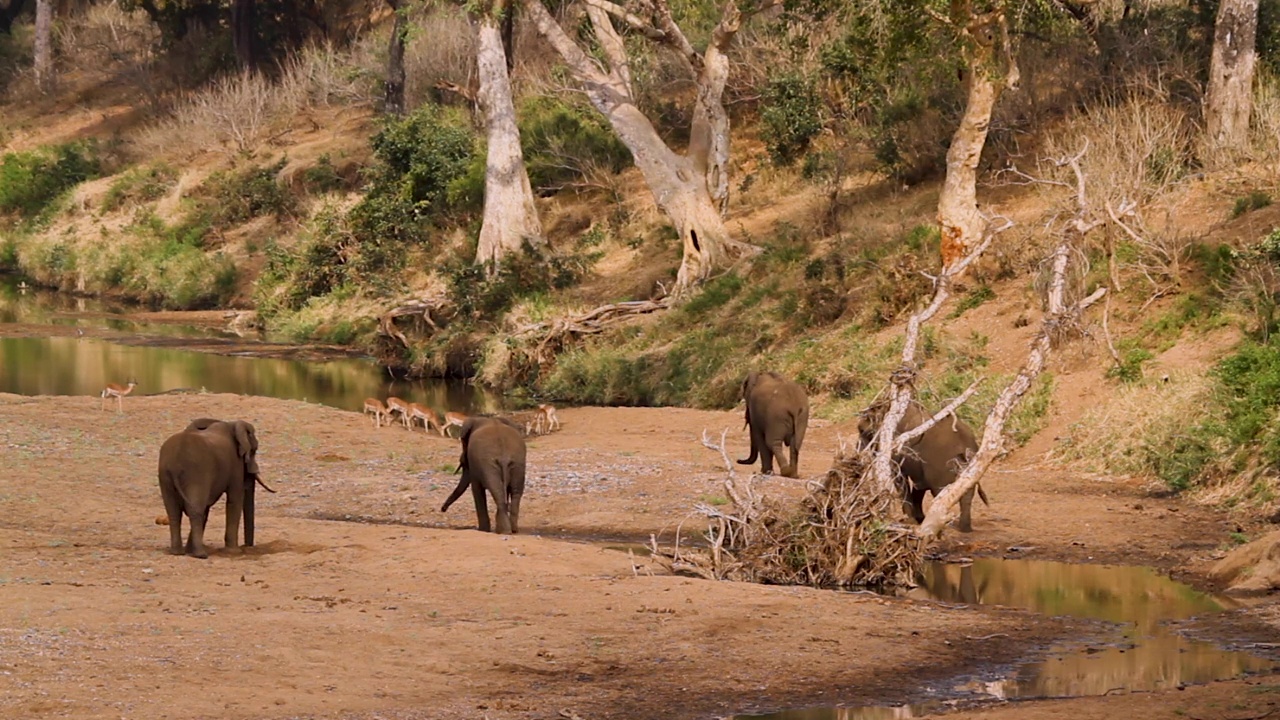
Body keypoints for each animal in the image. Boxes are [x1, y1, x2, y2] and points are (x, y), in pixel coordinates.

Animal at [156, 417, 275, 558]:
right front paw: (234, 552)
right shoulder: (235, 465)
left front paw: (189, 550)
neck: (231, 424)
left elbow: (207, 508)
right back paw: (201, 554)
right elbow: (235, 500)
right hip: (195, 474)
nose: (248, 547)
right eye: (254, 450)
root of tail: (174, 463)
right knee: (195, 510)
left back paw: (177, 552)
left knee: (174, 511)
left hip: (165, 476)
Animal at [860, 399, 988, 530]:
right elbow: (919, 486)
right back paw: (964, 529)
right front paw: (919, 518)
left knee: (940, 493)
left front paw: (911, 520)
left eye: (863, 431)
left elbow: (902, 482)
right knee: (966, 491)